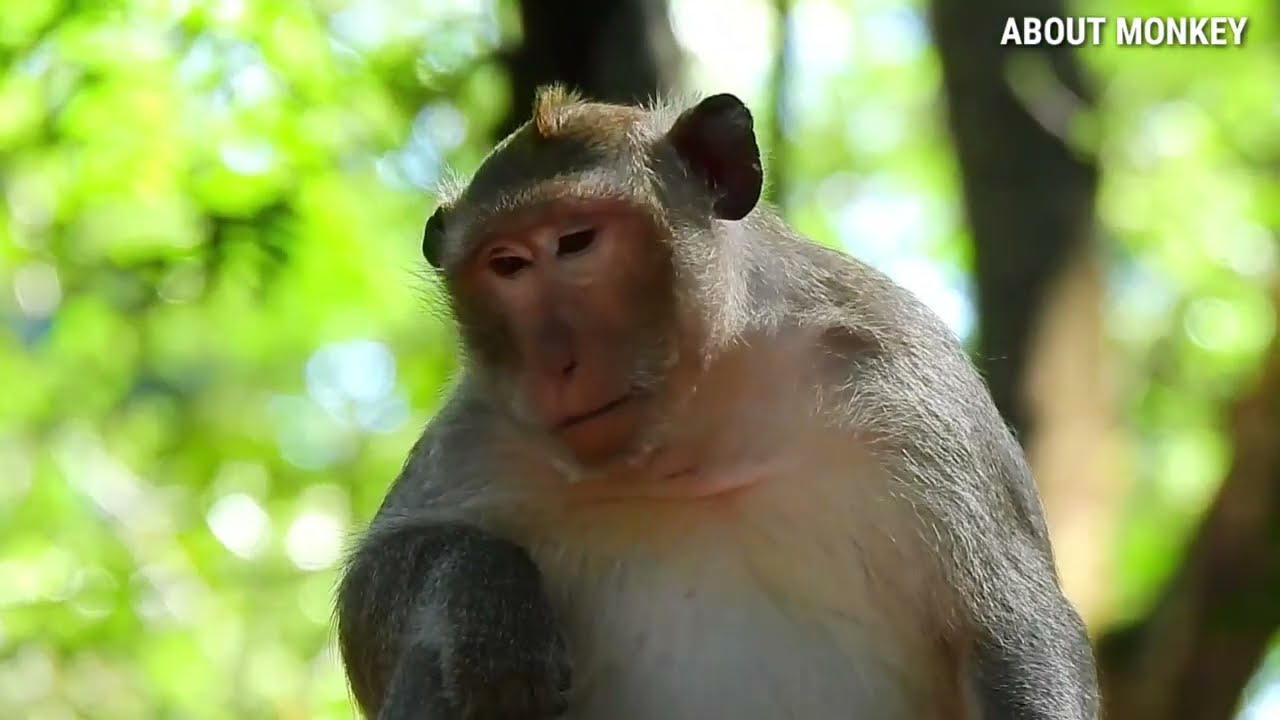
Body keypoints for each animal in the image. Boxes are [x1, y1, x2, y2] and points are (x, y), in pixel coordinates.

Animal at [335, 87, 1101, 720]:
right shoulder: (483, 429)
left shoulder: (908, 383)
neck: (695, 437)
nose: (554, 363)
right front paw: (491, 597)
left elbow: (1011, 628)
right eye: (507, 265)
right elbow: (368, 612)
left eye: (576, 242)